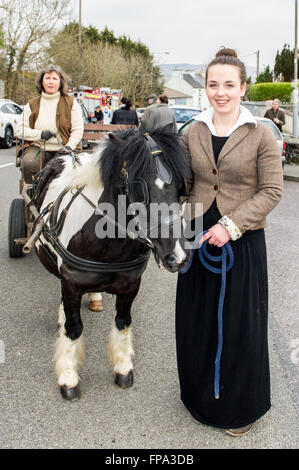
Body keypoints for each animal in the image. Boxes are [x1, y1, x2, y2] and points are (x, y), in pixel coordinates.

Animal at [32, 129, 192, 400]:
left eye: (182, 187)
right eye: (140, 189)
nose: (177, 257)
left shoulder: (130, 285)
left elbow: (123, 323)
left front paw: (123, 368)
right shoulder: (71, 282)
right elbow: (74, 328)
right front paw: (68, 378)